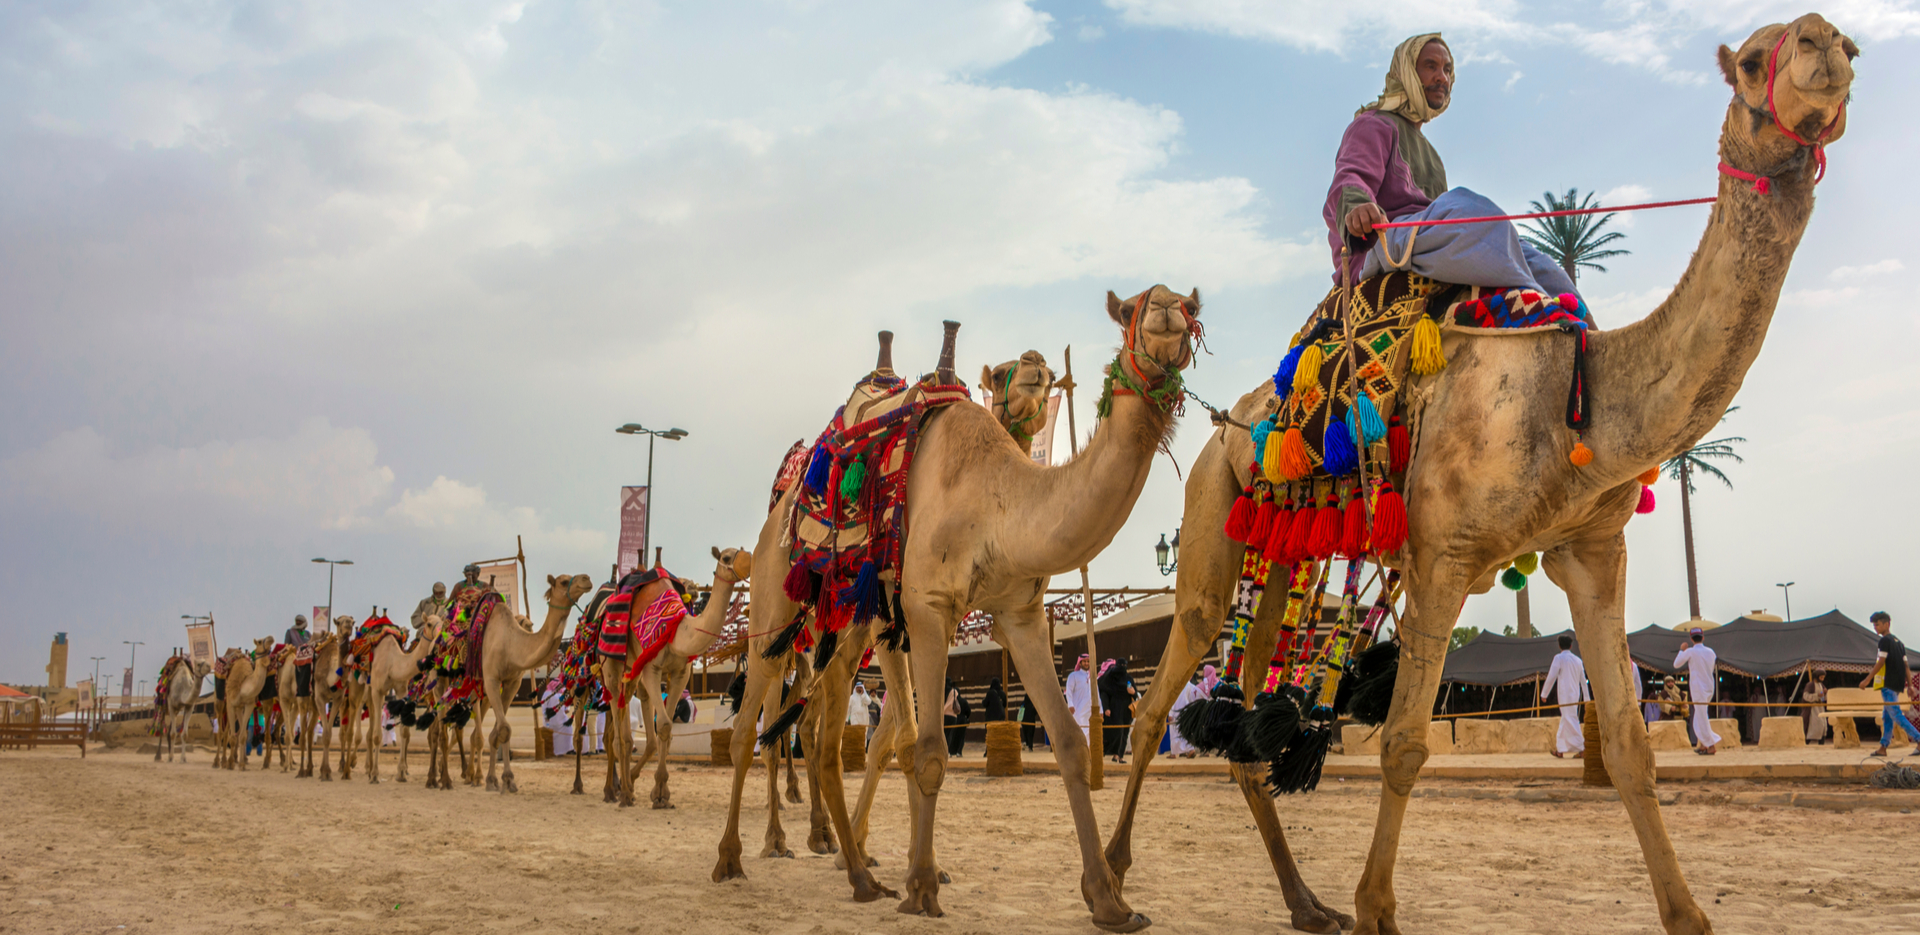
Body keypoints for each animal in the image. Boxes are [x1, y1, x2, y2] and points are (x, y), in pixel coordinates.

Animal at [715, 289, 1195, 931]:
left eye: (1190, 303)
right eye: (1131, 311)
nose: (1167, 310)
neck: (996, 503)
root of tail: (777, 514)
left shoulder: (1017, 613)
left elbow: (1067, 741)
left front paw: (1110, 899)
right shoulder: (926, 607)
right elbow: (926, 749)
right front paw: (921, 885)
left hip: (848, 630)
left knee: (822, 738)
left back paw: (859, 874)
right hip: (777, 601)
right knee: (753, 729)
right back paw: (738, 857)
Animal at [1105, 17, 1853, 935]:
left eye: (1838, 43)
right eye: (1752, 60)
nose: (1828, 43)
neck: (1578, 399)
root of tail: (1226, 429)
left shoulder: (1590, 549)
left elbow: (1632, 747)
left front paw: (1689, 915)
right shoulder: (1443, 552)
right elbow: (1403, 743)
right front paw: (1378, 909)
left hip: (1280, 558)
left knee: (1246, 723)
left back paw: (1307, 902)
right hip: (1211, 528)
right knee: (1152, 707)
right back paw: (1110, 890)